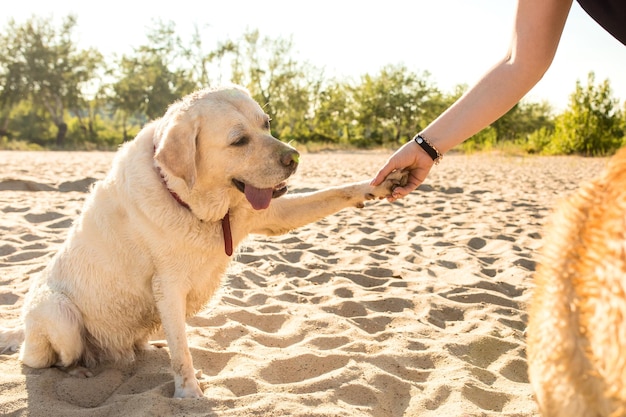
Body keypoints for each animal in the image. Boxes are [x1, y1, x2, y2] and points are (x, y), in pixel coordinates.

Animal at [0, 84, 404, 396]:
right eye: (239, 141)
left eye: (267, 124)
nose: (295, 158)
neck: (195, 203)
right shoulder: (168, 286)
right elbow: (183, 353)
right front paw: (189, 395)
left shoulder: (271, 216)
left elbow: (335, 193)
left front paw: (380, 183)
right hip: (59, 314)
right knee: (45, 360)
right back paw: (80, 369)